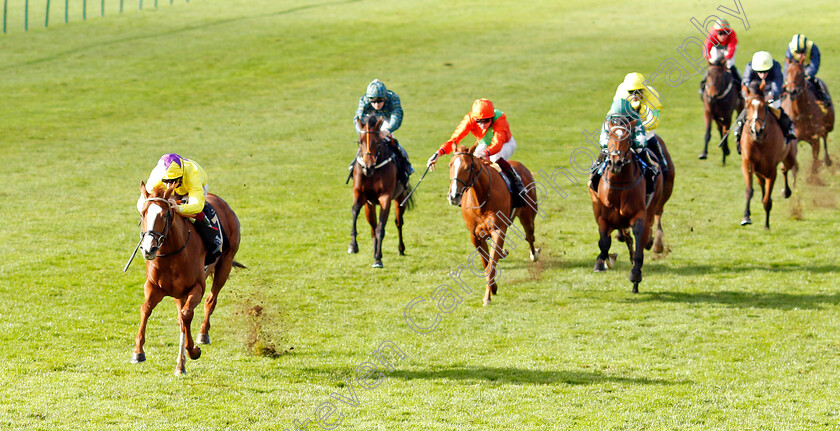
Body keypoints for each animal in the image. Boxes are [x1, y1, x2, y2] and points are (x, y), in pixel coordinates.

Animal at [133, 181, 241, 374]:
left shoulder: (196, 287)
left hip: (225, 264)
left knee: (210, 301)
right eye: (143, 213)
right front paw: (138, 352)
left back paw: (203, 334)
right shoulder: (153, 287)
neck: (172, 255)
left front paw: (192, 351)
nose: (149, 249)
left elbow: (186, 315)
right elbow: (146, 309)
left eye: (165, 214)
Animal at [348, 116, 414, 268]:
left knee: (398, 222)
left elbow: (381, 227)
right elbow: (355, 211)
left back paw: (400, 249)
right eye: (360, 141)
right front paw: (353, 246)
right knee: (372, 226)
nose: (367, 166)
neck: (374, 172)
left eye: (377, 141)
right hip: (370, 205)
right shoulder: (360, 194)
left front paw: (378, 258)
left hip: (400, 198)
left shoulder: (386, 197)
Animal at [446, 146, 540, 308]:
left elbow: (491, 264)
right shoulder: (475, 236)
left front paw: (487, 297)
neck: (482, 198)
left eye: (468, 167)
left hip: (528, 215)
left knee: (530, 236)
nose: (453, 196)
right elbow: (486, 264)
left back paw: (534, 254)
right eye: (450, 165)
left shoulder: (498, 230)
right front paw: (493, 288)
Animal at [592, 116, 676, 296]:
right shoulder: (602, 215)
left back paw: (654, 243)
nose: (616, 163)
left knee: (655, 218)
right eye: (609, 138)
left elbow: (638, 244)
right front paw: (603, 262)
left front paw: (636, 275)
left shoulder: (639, 215)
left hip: (659, 198)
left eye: (628, 140)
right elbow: (604, 243)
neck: (618, 187)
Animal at [740, 81, 796, 230]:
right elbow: (749, 190)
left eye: (763, 106)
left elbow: (767, 199)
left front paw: (766, 224)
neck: (760, 142)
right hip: (759, 170)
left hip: (789, 157)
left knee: (786, 168)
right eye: (747, 105)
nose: (757, 130)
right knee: (761, 182)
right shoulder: (748, 163)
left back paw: (786, 191)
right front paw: (746, 217)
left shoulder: (771, 169)